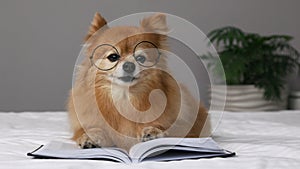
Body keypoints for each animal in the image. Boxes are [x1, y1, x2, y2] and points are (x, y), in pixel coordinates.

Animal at [67, 12, 210, 151]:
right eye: (113, 57)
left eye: (141, 58)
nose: (129, 65)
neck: (124, 99)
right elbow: (88, 129)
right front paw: (90, 136)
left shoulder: (183, 125)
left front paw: (152, 130)